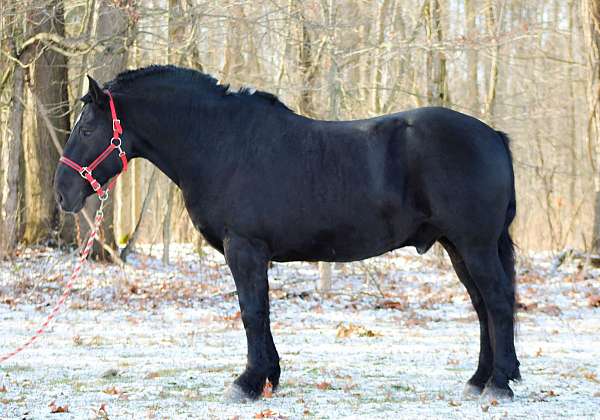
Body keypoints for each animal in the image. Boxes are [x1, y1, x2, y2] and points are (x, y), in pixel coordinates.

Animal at [52, 65, 520, 404]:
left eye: (87, 129)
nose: (62, 193)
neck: (220, 144)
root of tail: (493, 135)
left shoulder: (244, 248)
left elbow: (252, 312)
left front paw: (247, 383)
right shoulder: (252, 253)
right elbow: (260, 313)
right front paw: (268, 377)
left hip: (474, 245)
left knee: (496, 301)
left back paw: (497, 384)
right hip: (457, 247)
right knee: (482, 306)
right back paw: (479, 379)